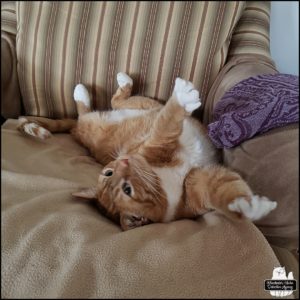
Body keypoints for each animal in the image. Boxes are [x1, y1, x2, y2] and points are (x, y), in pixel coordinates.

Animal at [18, 72, 276, 230]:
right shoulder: (173, 160)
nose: (122, 162)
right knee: (93, 110)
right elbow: (167, 124)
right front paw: (182, 98)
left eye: (108, 173)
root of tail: (76, 129)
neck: (168, 184)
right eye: (127, 189)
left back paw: (97, 86)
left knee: (107, 104)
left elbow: (226, 193)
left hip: (140, 105)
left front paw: (248, 207)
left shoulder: (196, 181)